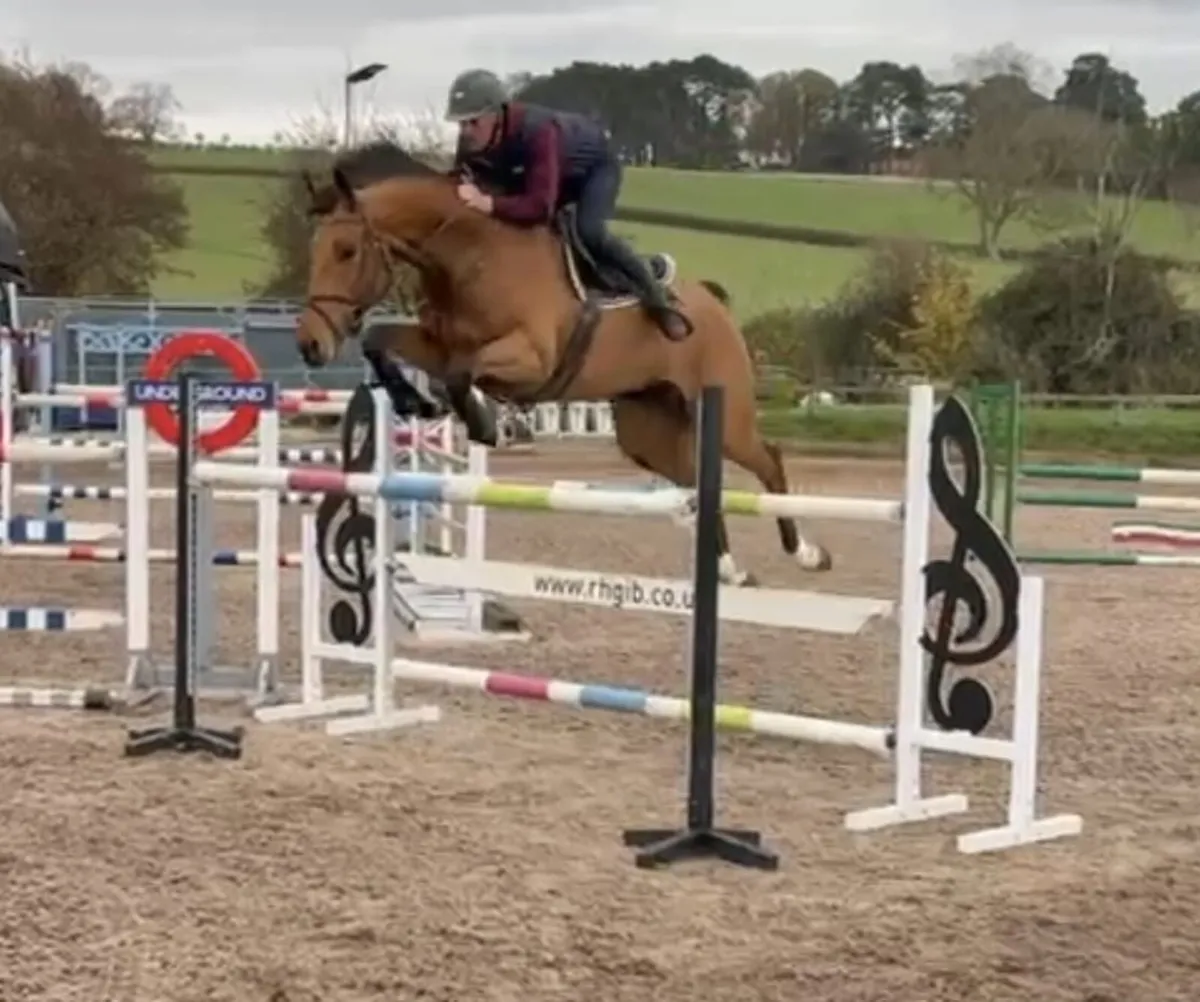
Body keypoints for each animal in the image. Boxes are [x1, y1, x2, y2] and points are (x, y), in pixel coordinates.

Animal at [295, 141, 832, 584]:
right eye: (315, 250)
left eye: (346, 251)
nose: (310, 345)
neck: (467, 252)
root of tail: (714, 303)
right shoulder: (436, 342)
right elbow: (379, 339)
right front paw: (413, 400)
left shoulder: (530, 358)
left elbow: (462, 375)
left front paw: (483, 423)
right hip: (647, 429)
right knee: (698, 480)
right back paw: (727, 568)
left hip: (723, 414)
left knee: (768, 459)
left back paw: (806, 553)